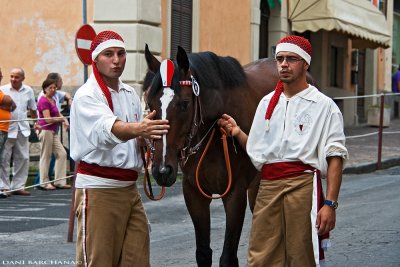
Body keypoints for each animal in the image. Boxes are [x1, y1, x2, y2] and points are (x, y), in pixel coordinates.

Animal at [144, 45, 316, 266]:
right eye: (150, 104)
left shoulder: (235, 193)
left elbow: (227, 257)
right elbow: (203, 253)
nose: (163, 170)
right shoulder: (194, 193)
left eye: (184, 104)